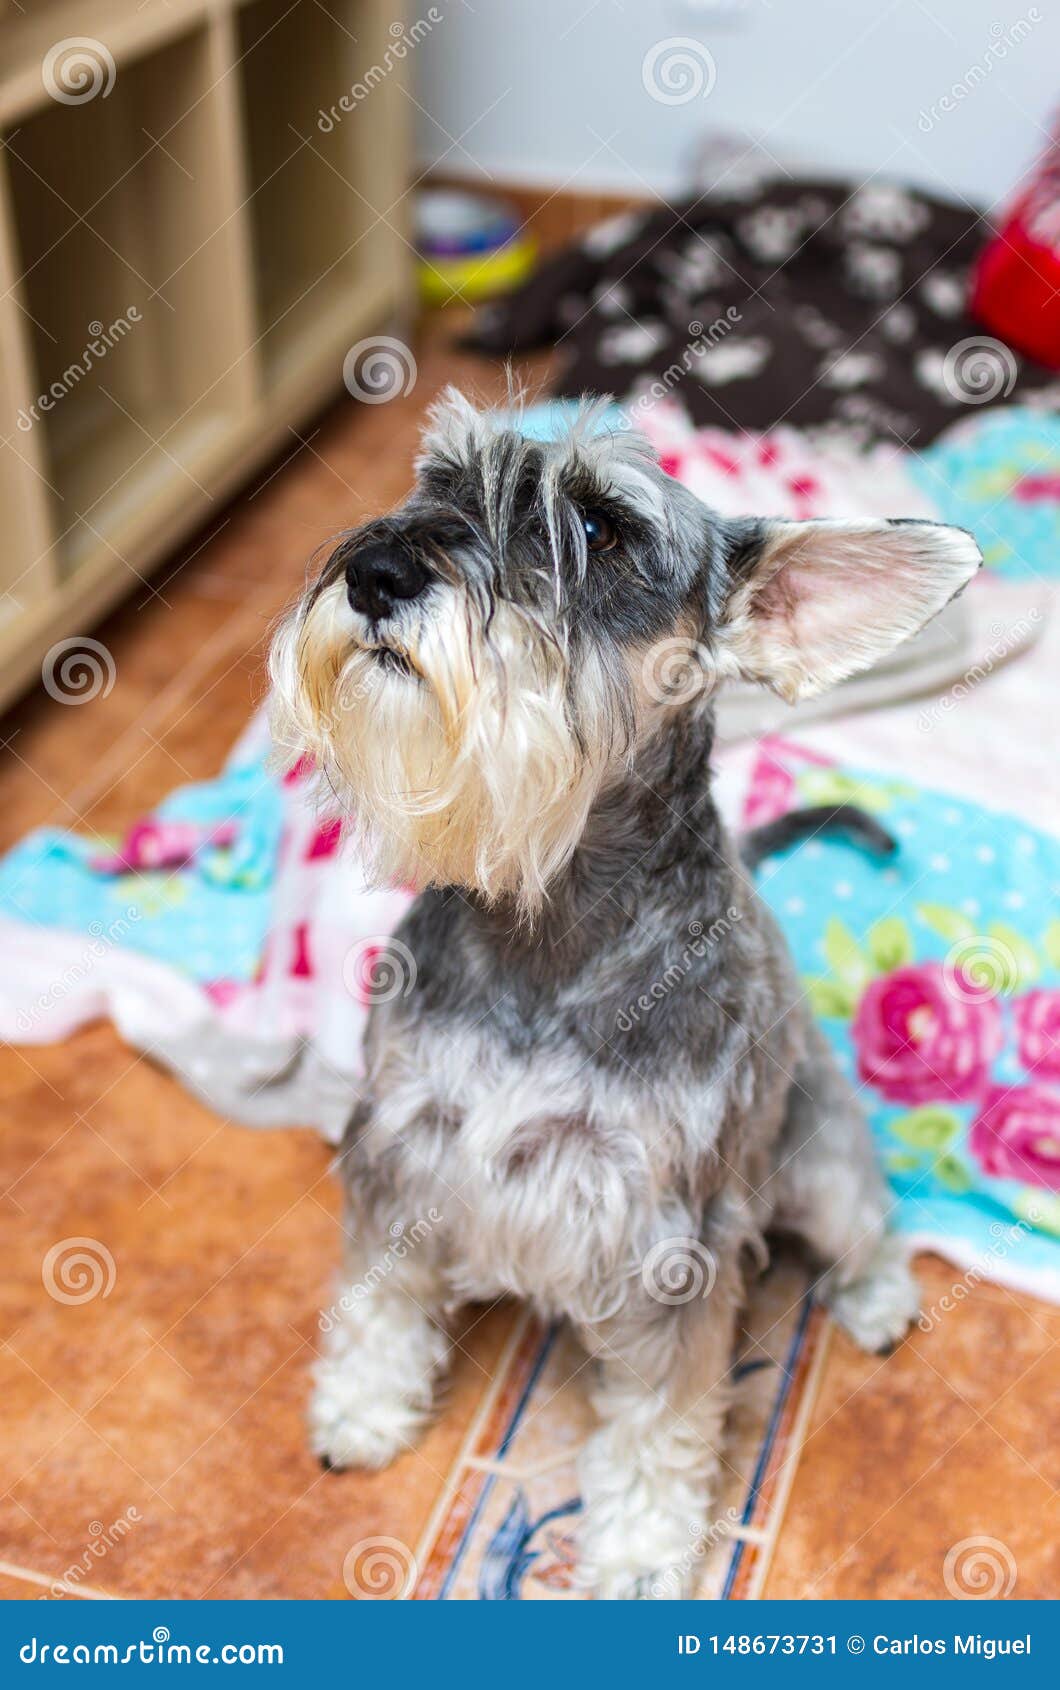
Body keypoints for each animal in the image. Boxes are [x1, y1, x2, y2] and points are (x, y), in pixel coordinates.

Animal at [268, 387, 980, 1595]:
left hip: (823, 1164)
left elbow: (659, 1419)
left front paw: (641, 1550)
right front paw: (363, 1406)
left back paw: (877, 1299)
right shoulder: (403, 1146)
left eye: (601, 529)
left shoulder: (667, 1241)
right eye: (441, 481)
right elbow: (380, 1296)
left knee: (869, 1228)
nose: (378, 573)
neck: (545, 932)